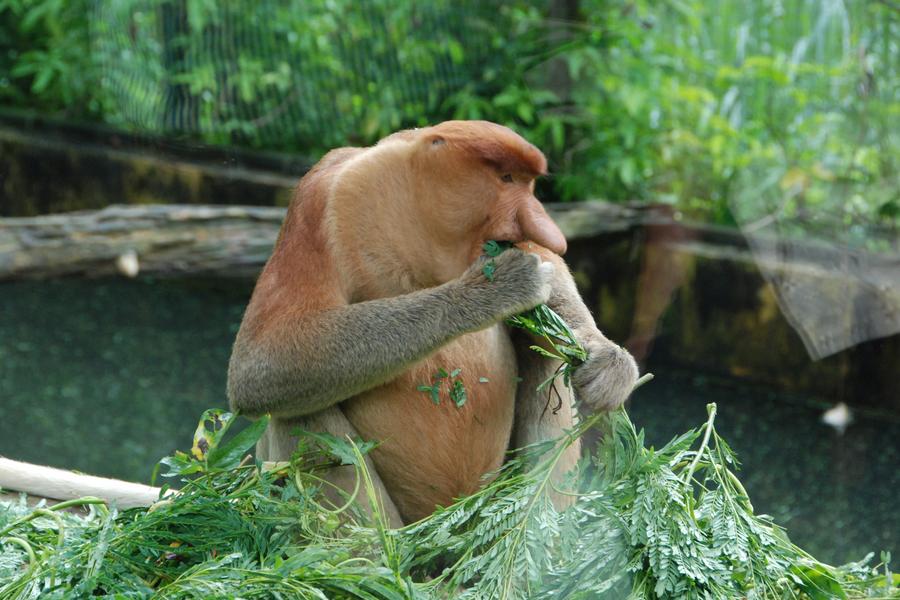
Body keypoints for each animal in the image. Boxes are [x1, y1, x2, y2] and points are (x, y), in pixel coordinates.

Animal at [229, 120, 636, 524]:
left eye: (528, 184)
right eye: (506, 178)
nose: (552, 231)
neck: (414, 231)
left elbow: (544, 260)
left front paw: (608, 363)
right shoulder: (319, 199)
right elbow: (261, 360)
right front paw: (494, 289)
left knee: (545, 353)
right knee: (298, 410)